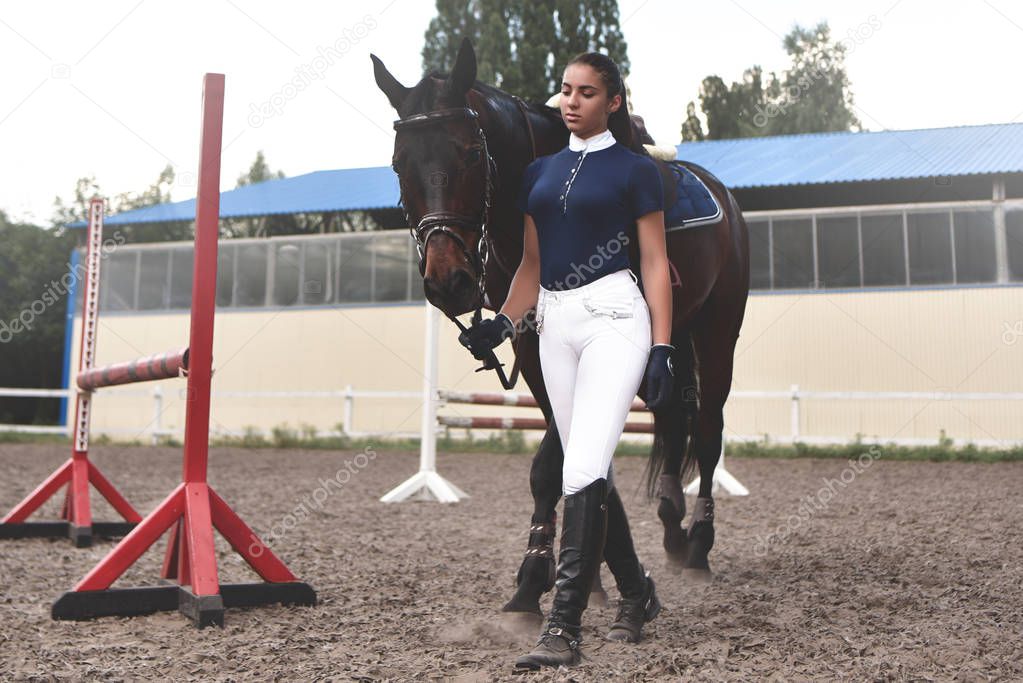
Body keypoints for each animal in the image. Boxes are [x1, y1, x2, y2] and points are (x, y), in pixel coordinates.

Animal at [372, 38, 748, 617]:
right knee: (671, 418)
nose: (447, 281)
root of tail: (720, 193)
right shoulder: (535, 352)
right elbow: (571, 456)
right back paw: (670, 529)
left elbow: (556, 462)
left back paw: (699, 547)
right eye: (398, 163)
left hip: (717, 332)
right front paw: (578, 575)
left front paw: (535, 579)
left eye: (472, 153)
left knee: (707, 431)